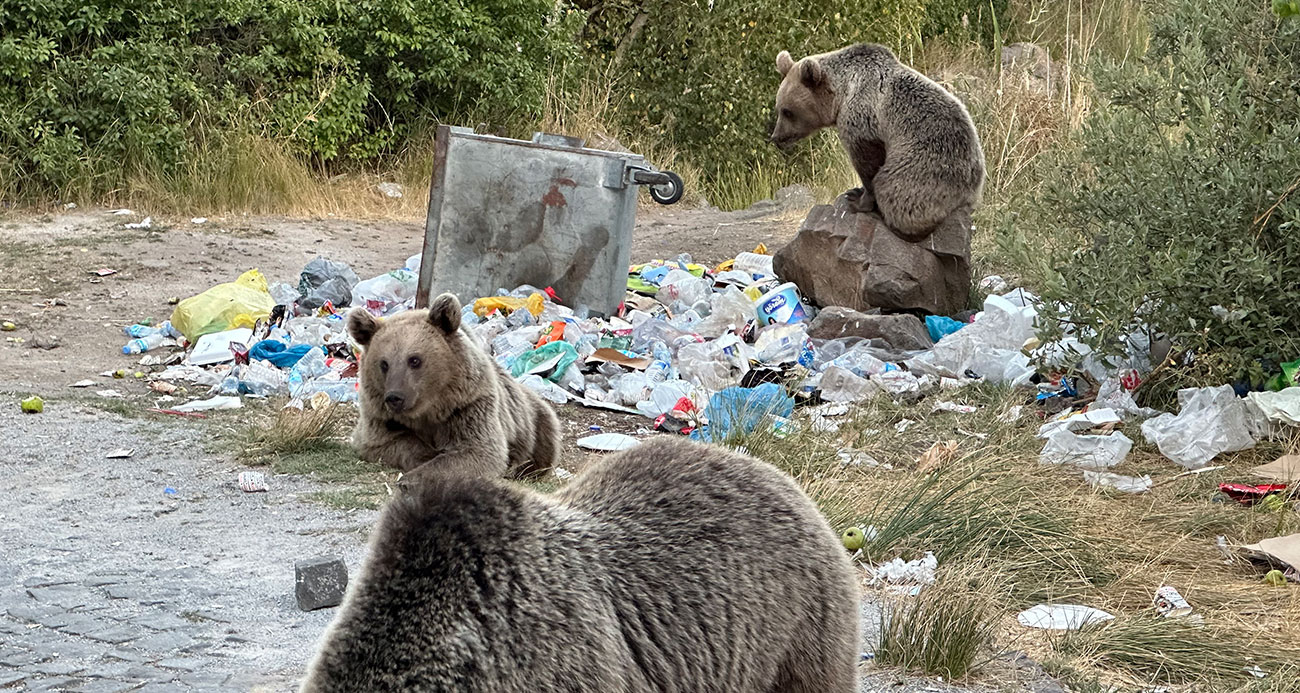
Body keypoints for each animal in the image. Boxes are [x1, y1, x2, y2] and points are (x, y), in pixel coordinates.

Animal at [345, 291, 559, 481]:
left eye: (414, 360)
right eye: (384, 363)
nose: (395, 397)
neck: (428, 409)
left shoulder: (469, 406)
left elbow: (480, 451)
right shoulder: (379, 416)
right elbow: (385, 442)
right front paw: (426, 454)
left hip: (533, 419)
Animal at [769, 41, 982, 240]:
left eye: (787, 111)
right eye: (779, 108)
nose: (776, 137)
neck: (841, 93)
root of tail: (970, 193)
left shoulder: (862, 119)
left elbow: (868, 163)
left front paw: (857, 200)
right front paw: (856, 191)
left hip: (927, 167)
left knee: (892, 187)